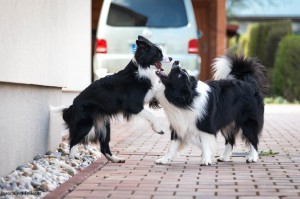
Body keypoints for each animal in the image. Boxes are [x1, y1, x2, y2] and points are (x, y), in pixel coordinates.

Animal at [62, 35, 172, 163]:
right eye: (158, 53)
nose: (171, 58)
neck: (142, 68)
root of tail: (73, 105)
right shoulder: (133, 106)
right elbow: (151, 115)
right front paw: (158, 129)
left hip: (105, 125)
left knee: (104, 146)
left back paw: (115, 159)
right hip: (85, 124)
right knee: (73, 141)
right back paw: (72, 159)